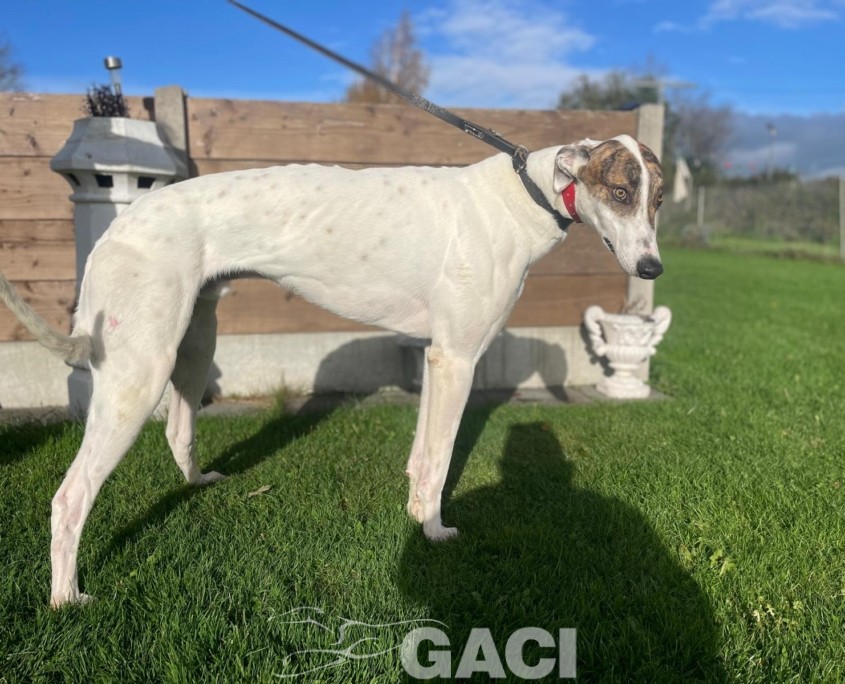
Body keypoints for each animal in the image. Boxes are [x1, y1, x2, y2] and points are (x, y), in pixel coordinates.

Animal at [0, 134, 663, 607]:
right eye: (620, 192)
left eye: (657, 200)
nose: (653, 268)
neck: (521, 198)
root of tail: (115, 227)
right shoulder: (457, 358)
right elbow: (441, 459)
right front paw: (434, 532)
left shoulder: (436, 356)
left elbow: (422, 455)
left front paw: (415, 514)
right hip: (137, 373)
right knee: (70, 495)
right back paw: (66, 597)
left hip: (191, 344)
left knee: (177, 429)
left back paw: (198, 483)